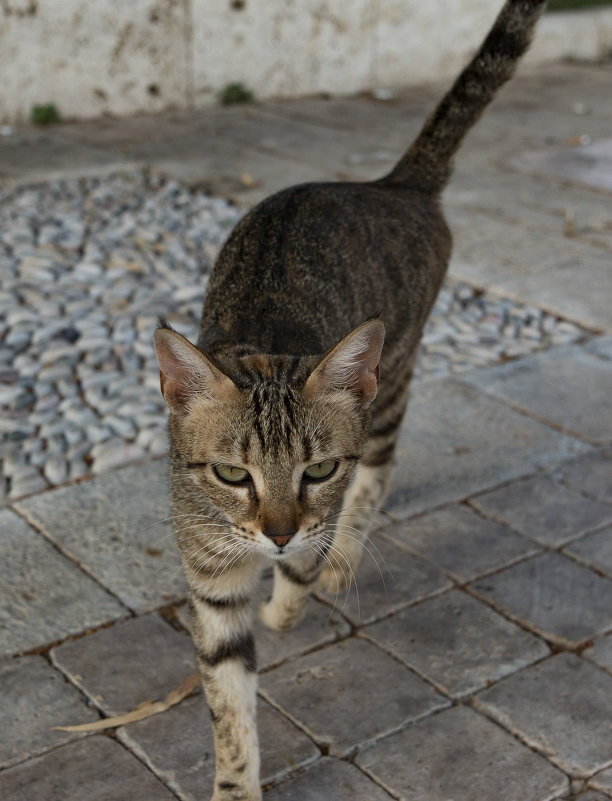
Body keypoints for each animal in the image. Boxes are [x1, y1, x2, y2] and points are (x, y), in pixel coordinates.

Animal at [155, 3, 548, 796]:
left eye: (317, 470)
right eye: (232, 474)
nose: (277, 534)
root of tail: (393, 185)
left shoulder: (323, 503)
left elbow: (301, 570)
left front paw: (288, 602)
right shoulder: (210, 583)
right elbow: (228, 702)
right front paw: (234, 781)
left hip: (392, 381)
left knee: (382, 469)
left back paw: (335, 563)